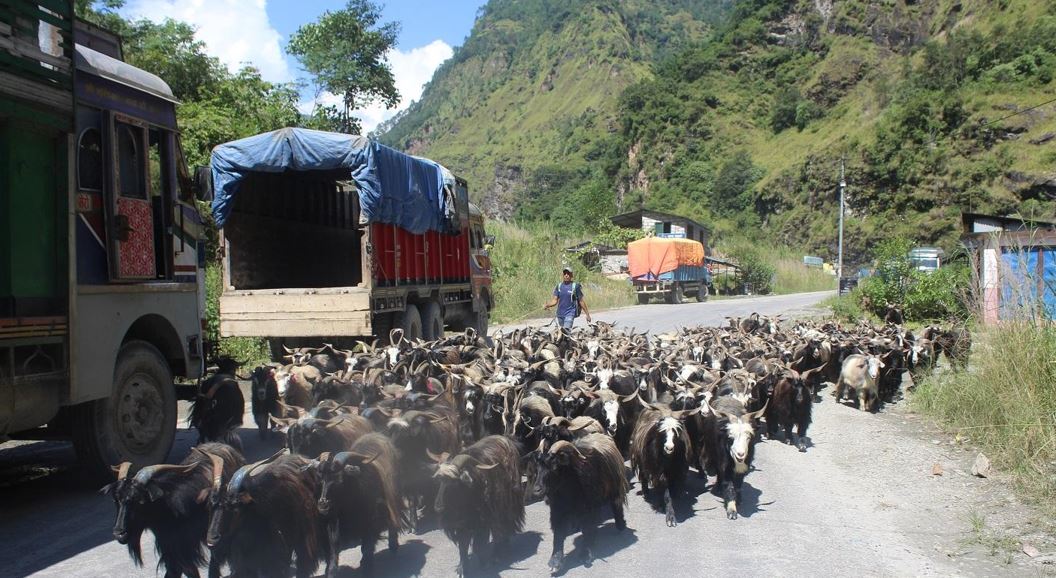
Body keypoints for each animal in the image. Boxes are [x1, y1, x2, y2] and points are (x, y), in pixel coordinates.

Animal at [102, 443, 242, 578]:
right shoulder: (173, 552)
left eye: (139, 501)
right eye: (116, 500)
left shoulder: (183, 551)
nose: (119, 533)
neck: (168, 510)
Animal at [312, 431, 403, 574]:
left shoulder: (371, 521)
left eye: (340, 480)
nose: (323, 505)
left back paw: (393, 546)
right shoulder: (334, 521)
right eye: (320, 479)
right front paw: (331, 571)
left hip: (394, 496)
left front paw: (367, 565)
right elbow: (334, 546)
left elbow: (367, 545)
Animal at [432, 437, 523, 574]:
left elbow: (478, 545)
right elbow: (463, 547)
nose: (438, 508)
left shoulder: (482, 521)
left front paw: (484, 563)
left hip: (507, 504)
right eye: (439, 480)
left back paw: (500, 553)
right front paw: (462, 568)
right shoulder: (461, 526)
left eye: (454, 482)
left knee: (504, 526)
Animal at [536, 435, 625, 574]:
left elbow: (587, 529)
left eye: (555, 467)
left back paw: (621, 526)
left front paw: (585, 555)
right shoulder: (557, 510)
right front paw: (555, 562)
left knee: (616, 505)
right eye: (538, 467)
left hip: (614, 490)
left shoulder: (588, 509)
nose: (537, 489)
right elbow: (558, 533)